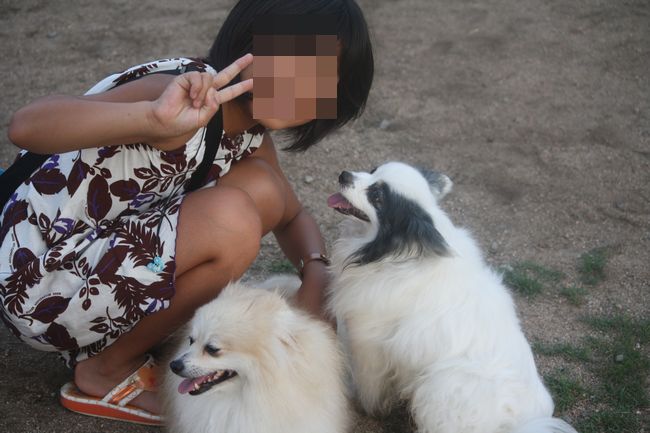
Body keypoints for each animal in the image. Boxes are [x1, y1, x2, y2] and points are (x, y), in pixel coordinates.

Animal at [326, 162, 577, 433]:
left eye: (377, 197)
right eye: (373, 170)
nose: (343, 175)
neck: (395, 252)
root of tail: (520, 424)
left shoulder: (368, 344)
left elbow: (370, 385)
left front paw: (364, 404)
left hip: (437, 389)